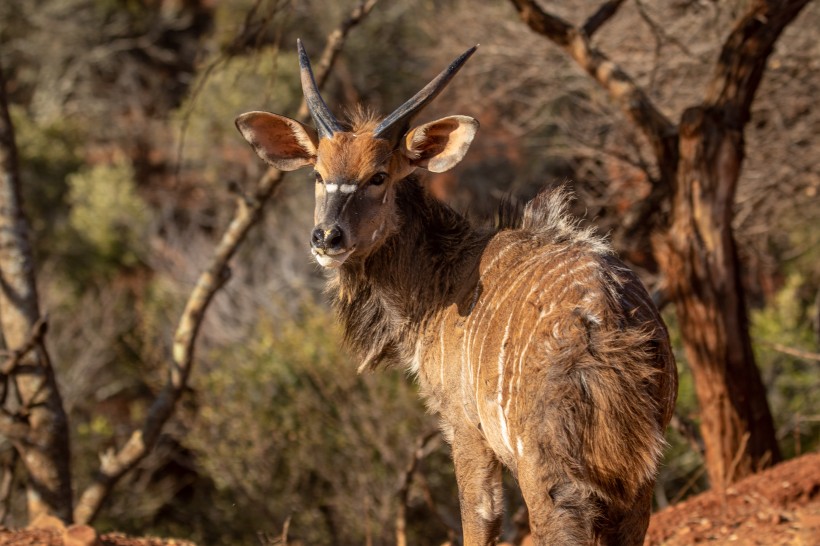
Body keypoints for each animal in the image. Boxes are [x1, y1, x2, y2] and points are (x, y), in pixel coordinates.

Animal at [237, 41, 680, 544]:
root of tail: (606, 326)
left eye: (378, 176)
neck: (444, 276)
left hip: (549, 473)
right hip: (637, 473)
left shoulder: (466, 429)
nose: (327, 237)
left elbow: (480, 517)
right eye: (317, 173)